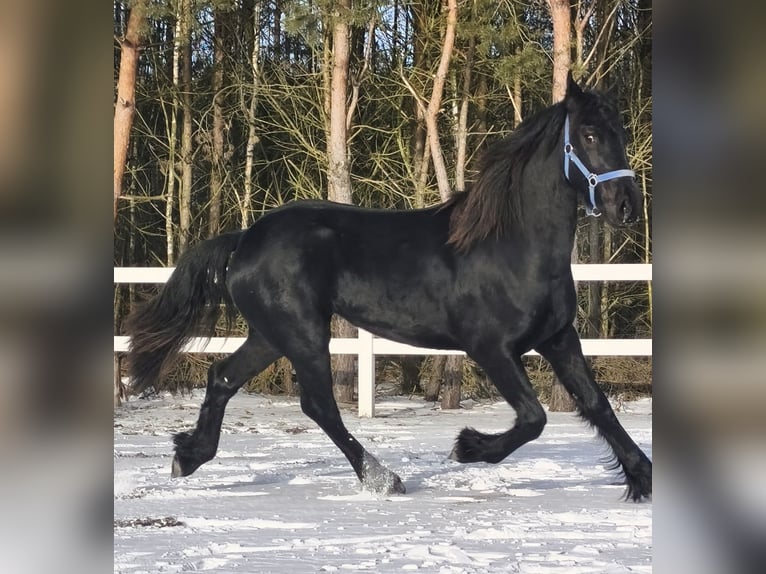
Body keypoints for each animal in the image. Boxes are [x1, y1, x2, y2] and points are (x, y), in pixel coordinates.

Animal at [126, 74, 652, 502]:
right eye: (588, 134)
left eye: (622, 133)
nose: (627, 206)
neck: (513, 246)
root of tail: (245, 239)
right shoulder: (491, 349)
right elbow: (534, 417)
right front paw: (468, 447)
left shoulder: (559, 339)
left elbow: (596, 405)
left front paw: (641, 477)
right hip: (302, 333)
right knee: (319, 405)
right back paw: (384, 478)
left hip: (271, 335)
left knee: (223, 378)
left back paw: (188, 456)